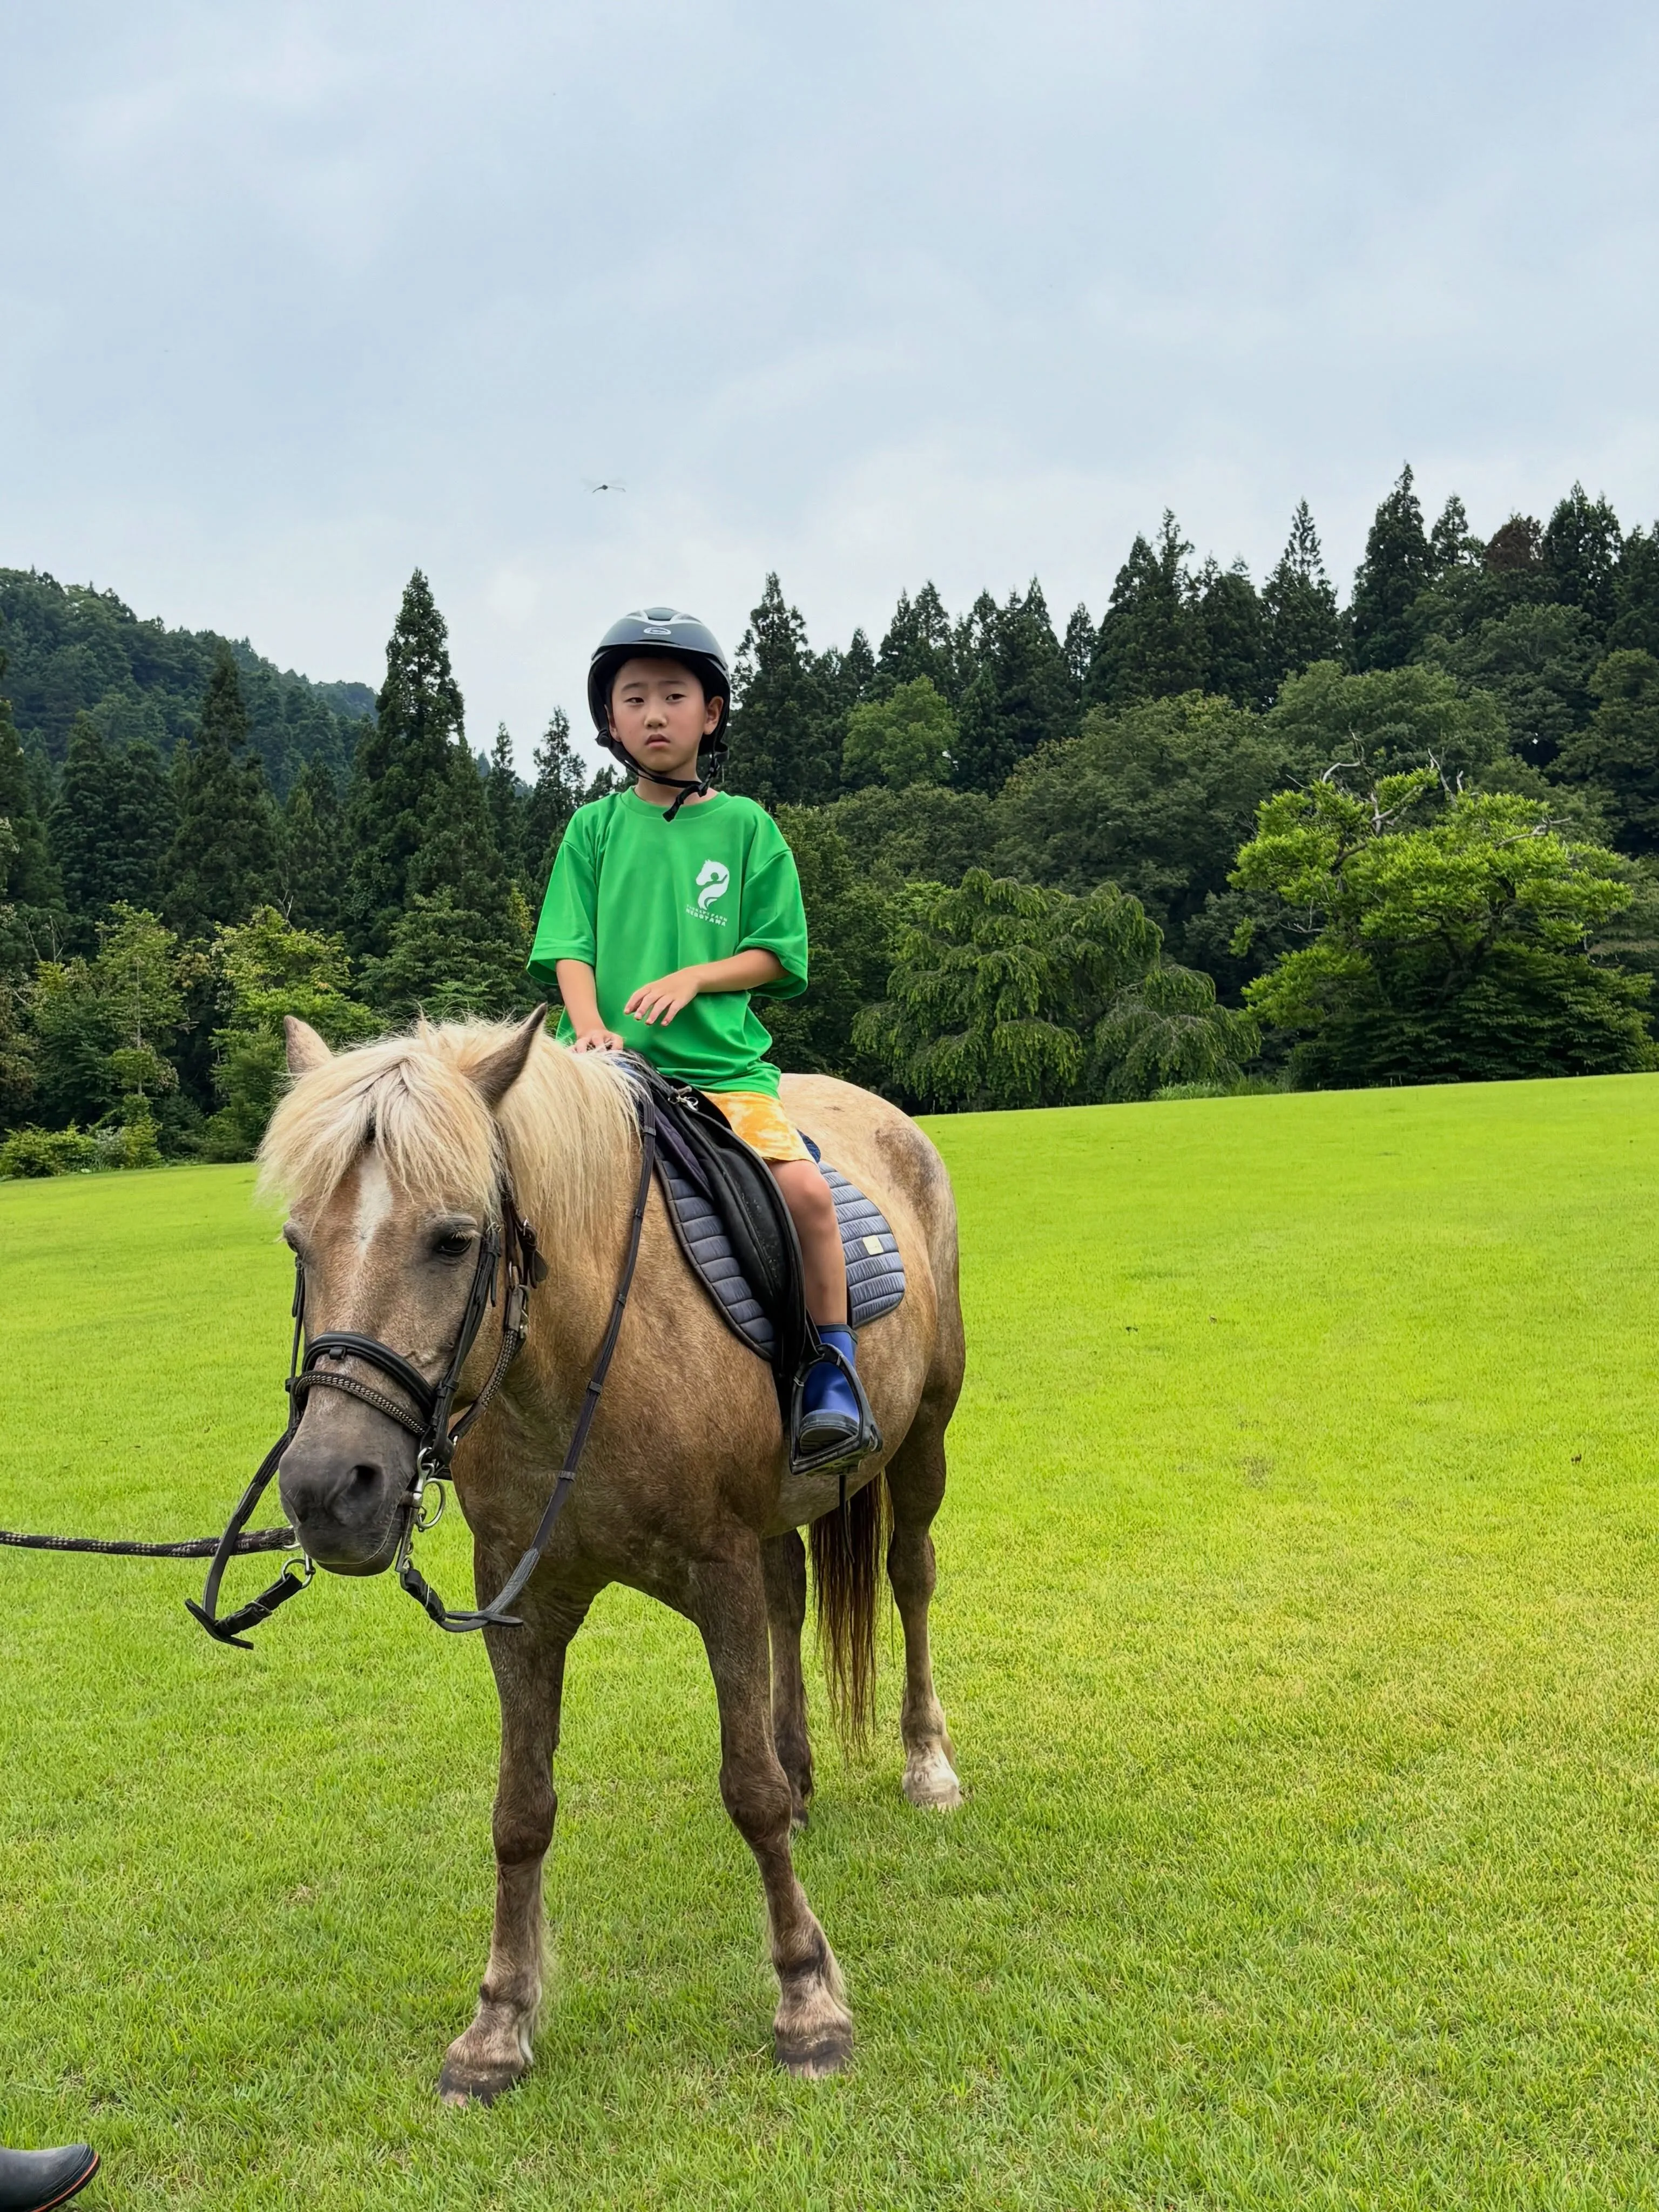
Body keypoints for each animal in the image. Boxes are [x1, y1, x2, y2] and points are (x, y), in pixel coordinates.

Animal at [258, 1007, 965, 2096]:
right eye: (299, 1242)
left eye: (454, 1239)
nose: (329, 1489)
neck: (582, 1355)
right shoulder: (518, 1602)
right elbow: (519, 1810)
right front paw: (498, 2022)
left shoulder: (716, 1573)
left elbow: (748, 1793)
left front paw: (806, 1999)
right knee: (792, 1598)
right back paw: (806, 1769)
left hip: (925, 1432)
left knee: (909, 1577)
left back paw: (927, 1761)